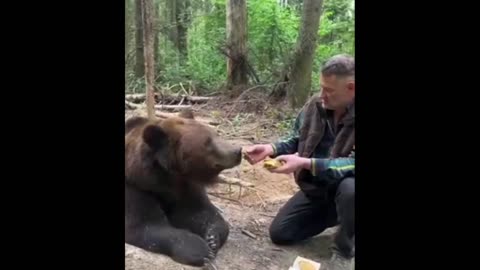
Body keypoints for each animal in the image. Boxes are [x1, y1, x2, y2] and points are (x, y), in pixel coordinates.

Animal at [125, 109, 242, 268]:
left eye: (215, 134)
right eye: (207, 142)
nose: (238, 151)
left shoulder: (187, 188)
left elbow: (202, 214)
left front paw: (212, 239)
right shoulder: (136, 188)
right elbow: (145, 225)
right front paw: (201, 251)